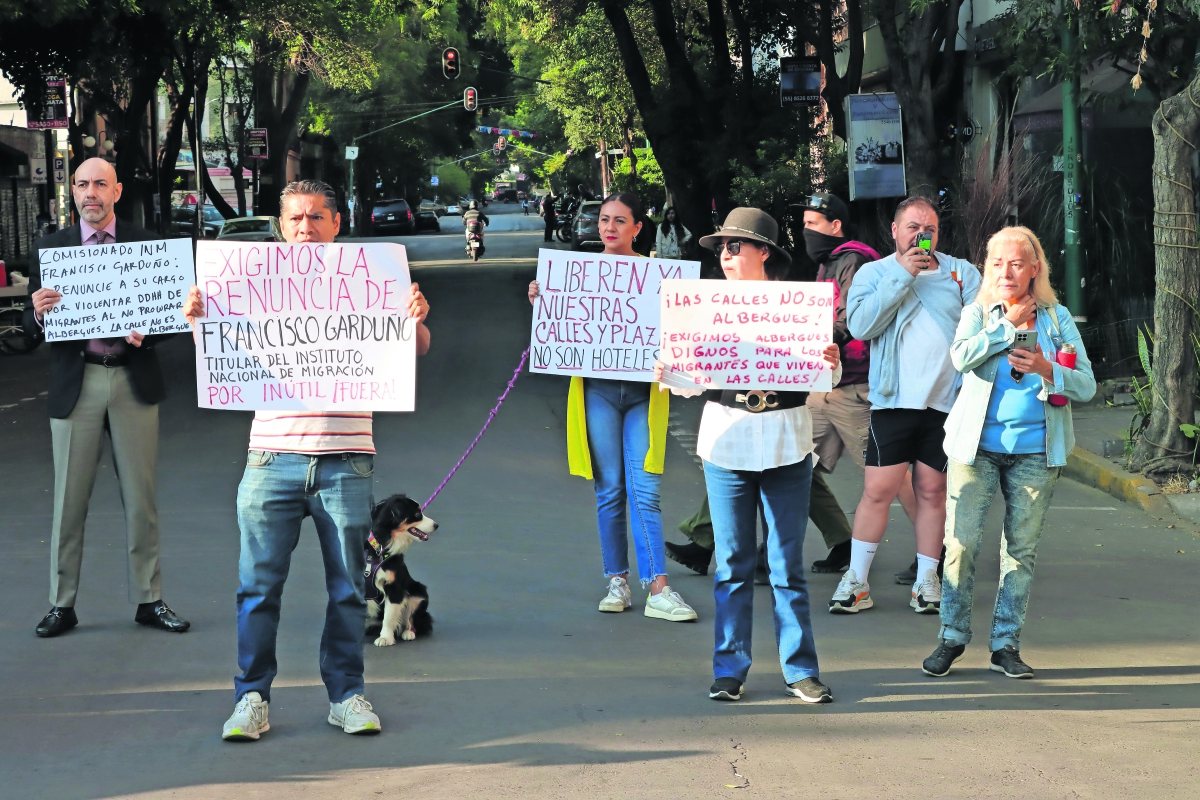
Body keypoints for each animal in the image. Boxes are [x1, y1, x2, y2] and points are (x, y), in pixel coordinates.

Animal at [367, 496, 444, 647]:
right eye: (417, 514)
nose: (436, 525)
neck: (379, 547)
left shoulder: (394, 587)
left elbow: (388, 617)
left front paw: (385, 638)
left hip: (418, 592)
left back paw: (408, 632)